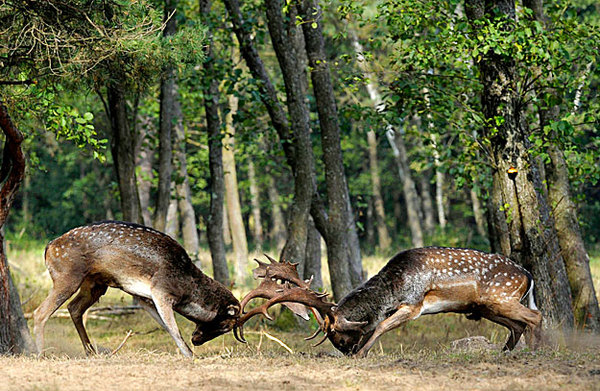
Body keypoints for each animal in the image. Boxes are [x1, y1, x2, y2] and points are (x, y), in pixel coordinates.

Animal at [32, 220, 244, 358]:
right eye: (226, 325)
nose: (196, 340)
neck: (186, 288)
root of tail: (48, 247)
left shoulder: (142, 295)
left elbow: (165, 325)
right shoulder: (161, 291)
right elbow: (173, 328)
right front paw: (191, 355)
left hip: (95, 284)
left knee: (74, 308)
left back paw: (90, 352)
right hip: (67, 276)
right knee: (40, 312)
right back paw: (41, 355)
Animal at [236, 248, 544, 358]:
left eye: (337, 335)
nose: (347, 352)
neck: (393, 287)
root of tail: (528, 274)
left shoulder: (414, 304)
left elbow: (381, 326)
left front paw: (363, 354)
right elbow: (378, 325)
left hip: (500, 296)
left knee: (535, 317)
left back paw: (534, 352)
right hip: (486, 306)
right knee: (518, 324)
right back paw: (506, 353)